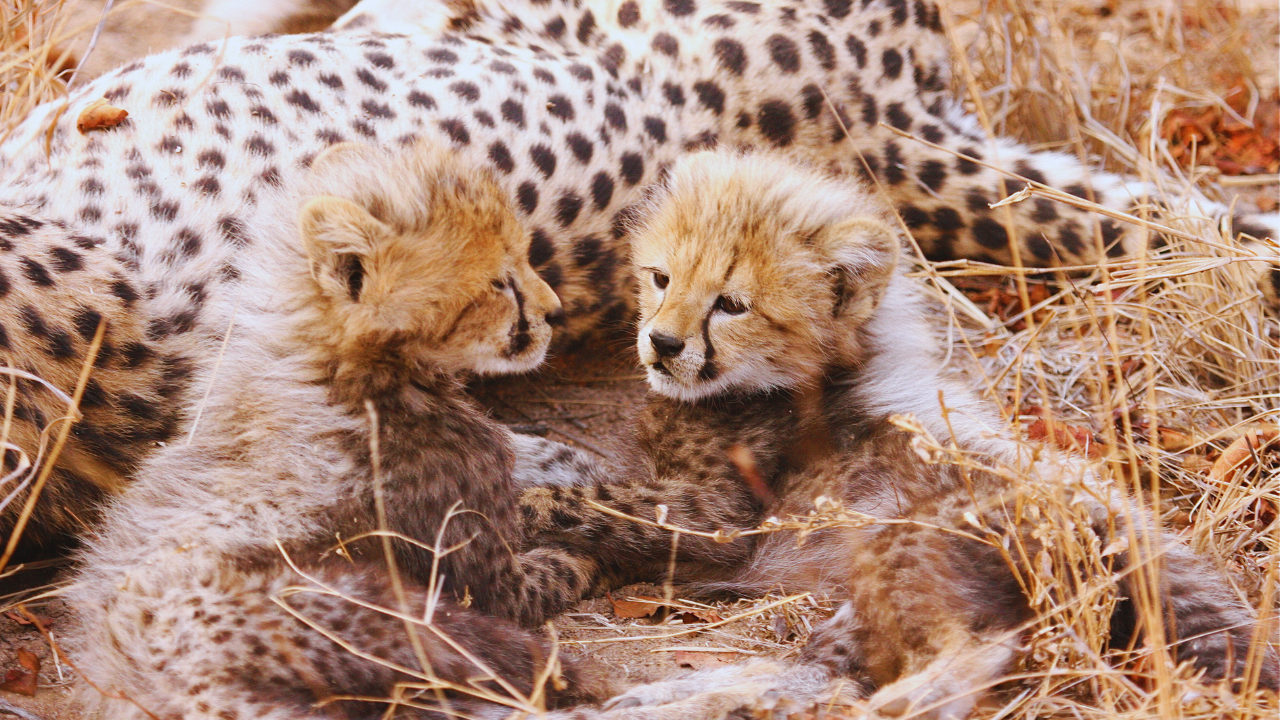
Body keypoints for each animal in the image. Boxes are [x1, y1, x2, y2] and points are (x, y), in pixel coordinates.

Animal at [518, 149, 1280, 718]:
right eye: (660, 277)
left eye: (731, 305)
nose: (663, 344)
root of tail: (1121, 516)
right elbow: (577, 466)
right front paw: (518, 455)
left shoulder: (718, 524)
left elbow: (592, 496)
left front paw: (520, 501)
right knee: (822, 675)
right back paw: (668, 699)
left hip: (904, 543)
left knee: (960, 653)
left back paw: (897, 702)